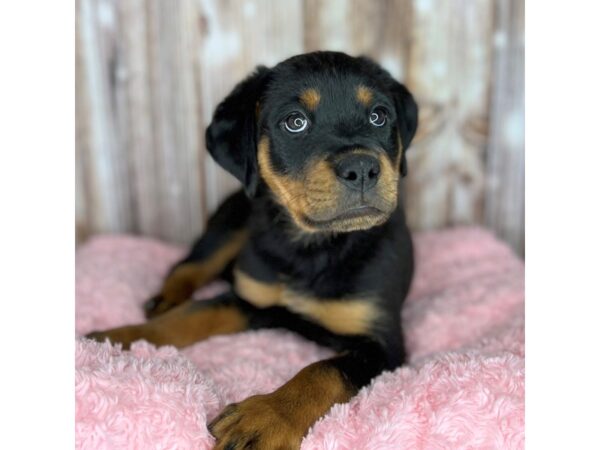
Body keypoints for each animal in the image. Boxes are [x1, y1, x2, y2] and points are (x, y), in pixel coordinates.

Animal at [88, 51, 418, 450]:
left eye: (379, 116)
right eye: (295, 122)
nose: (362, 167)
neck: (311, 246)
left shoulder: (382, 343)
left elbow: (323, 371)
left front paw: (265, 418)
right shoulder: (251, 299)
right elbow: (188, 317)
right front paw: (119, 338)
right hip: (231, 222)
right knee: (189, 266)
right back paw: (164, 299)